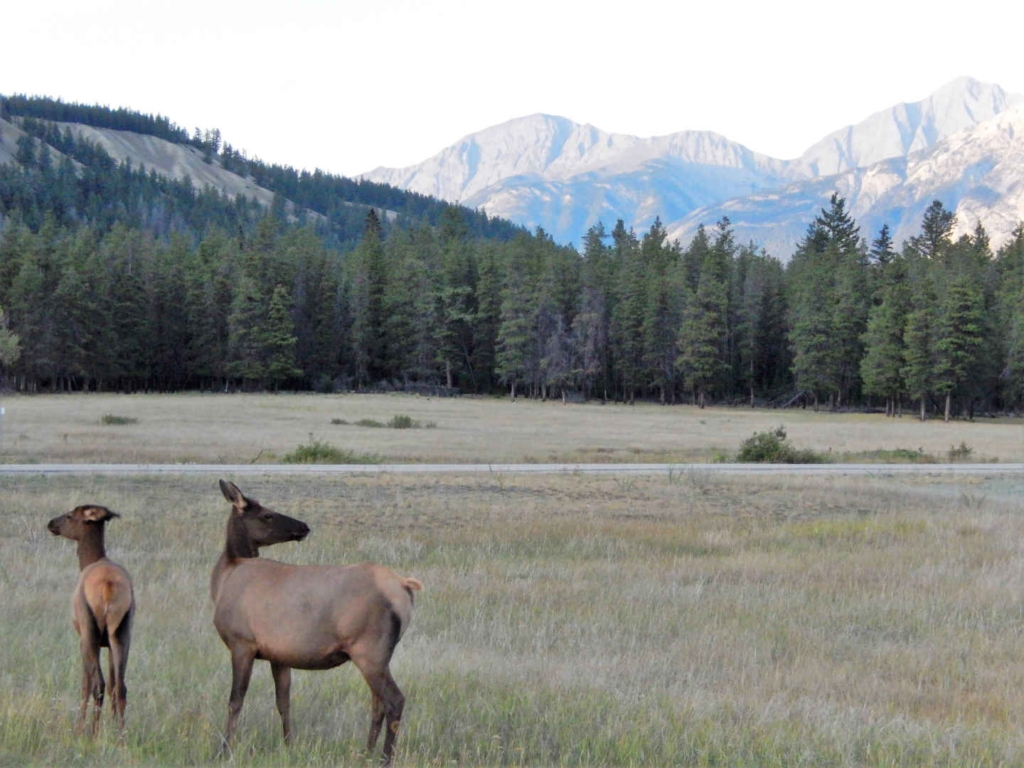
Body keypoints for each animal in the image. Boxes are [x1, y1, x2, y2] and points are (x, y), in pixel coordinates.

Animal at [46, 507, 135, 737]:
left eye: (70, 515)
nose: (51, 523)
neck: (91, 560)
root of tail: (108, 586)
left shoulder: (82, 639)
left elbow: (85, 683)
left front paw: (78, 728)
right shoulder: (110, 644)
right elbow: (114, 684)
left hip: (90, 632)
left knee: (98, 685)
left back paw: (91, 733)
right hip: (121, 633)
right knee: (120, 687)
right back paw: (121, 734)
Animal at [214, 481, 421, 765]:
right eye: (267, 514)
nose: (303, 526)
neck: (224, 575)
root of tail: (404, 587)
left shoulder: (242, 642)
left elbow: (235, 701)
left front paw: (224, 750)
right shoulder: (278, 654)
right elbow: (283, 701)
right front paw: (288, 745)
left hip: (368, 649)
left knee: (394, 700)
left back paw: (384, 759)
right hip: (380, 655)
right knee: (377, 702)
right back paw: (366, 752)